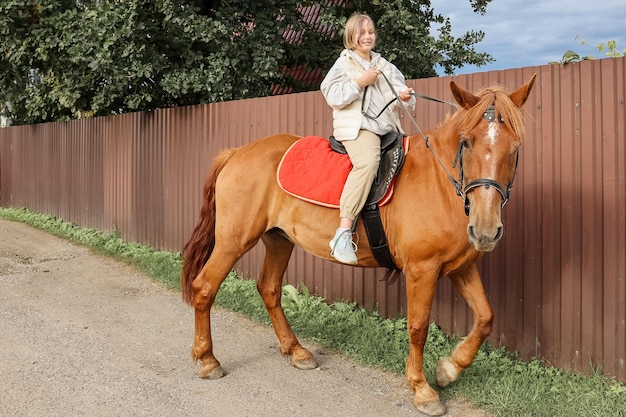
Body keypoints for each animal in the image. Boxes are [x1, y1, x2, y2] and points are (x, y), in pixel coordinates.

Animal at [182, 73, 536, 414]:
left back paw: (296, 350)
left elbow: (485, 318)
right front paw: (422, 389)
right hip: (233, 241)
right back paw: (208, 360)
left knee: (268, 289)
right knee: (204, 287)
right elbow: (418, 327)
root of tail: (236, 153)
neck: (438, 181)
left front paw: (448, 369)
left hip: (280, 241)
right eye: (466, 143)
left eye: (515, 148)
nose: (485, 230)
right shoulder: (422, 270)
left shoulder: (460, 268)